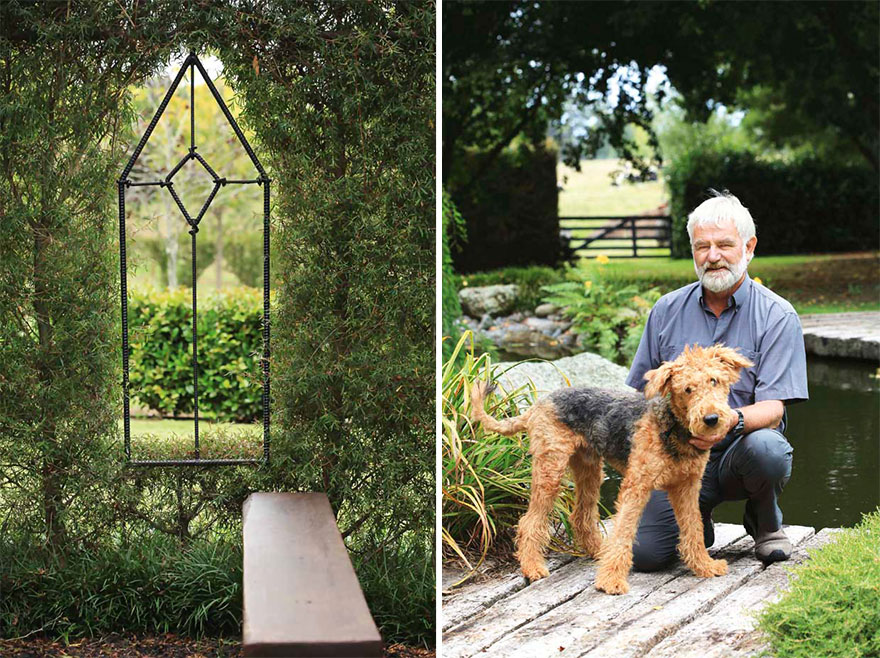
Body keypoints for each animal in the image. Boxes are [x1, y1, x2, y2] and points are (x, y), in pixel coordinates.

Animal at [470, 344, 752, 596]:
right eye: (687, 389)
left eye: (714, 380)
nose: (711, 419)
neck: (673, 428)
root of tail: (539, 404)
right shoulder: (636, 486)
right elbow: (624, 532)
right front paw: (611, 581)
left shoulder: (687, 487)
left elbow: (693, 528)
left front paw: (705, 565)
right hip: (551, 469)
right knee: (530, 522)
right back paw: (533, 567)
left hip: (589, 469)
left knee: (581, 517)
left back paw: (598, 551)